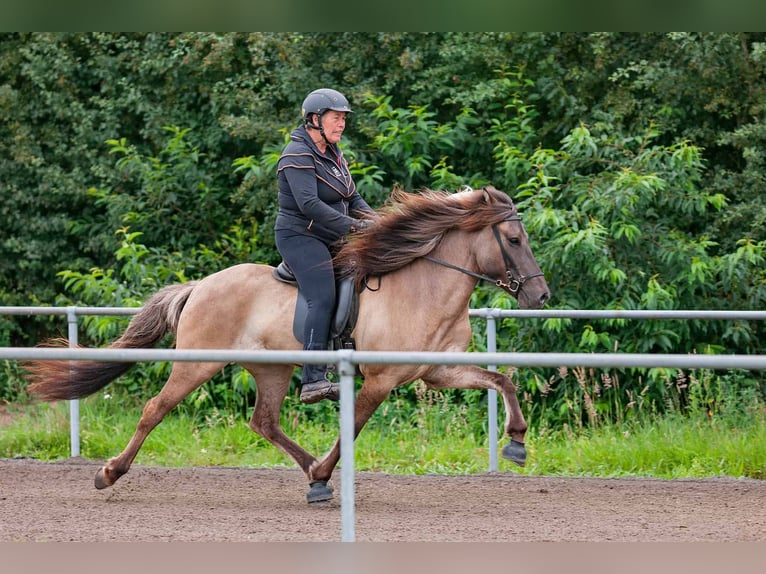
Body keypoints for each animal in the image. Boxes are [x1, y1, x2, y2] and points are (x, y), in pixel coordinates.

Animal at [24, 188, 552, 504]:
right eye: (513, 239)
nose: (541, 296)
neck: (423, 288)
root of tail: (200, 285)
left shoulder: (436, 372)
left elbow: (500, 379)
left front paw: (517, 441)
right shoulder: (380, 380)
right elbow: (351, 428)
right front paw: (325, 469)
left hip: (272, 369)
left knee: (263, 422)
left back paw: (312, 478)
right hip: (197, 363)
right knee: (156, 408)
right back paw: (109, 473)